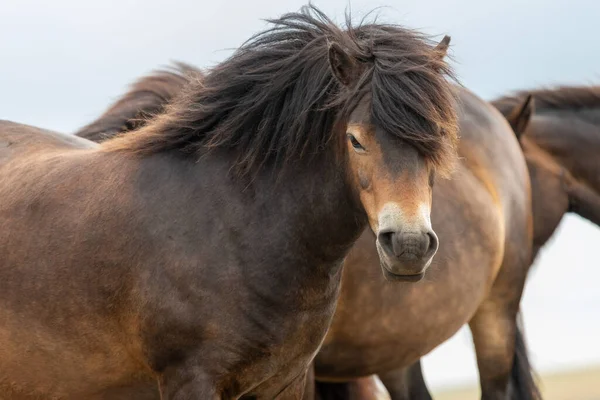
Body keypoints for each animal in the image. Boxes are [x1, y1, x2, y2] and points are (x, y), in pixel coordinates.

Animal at [0, 6, 460, 400]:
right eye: (355, 139)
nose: (409, 245)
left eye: (439, 137)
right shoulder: (191, 379)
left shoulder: (285, 381)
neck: (237, 225)